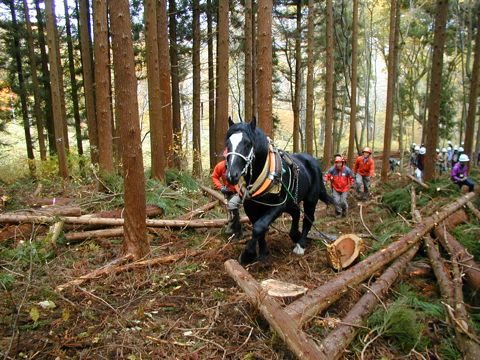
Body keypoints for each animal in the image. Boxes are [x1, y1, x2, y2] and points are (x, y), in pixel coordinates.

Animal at [224, 118, 330, 264]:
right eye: (228, 143)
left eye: (248, 143)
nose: (231, 175)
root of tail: (313, 161)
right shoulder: (251, 206)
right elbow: (259, 227)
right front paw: (263, 253)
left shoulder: (278, 206)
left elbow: (259, 226)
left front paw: (248, 254)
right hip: (292, 201)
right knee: (296, 213)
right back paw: (295, 235)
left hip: (310, 199)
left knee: (308, 218)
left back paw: (301, 244)